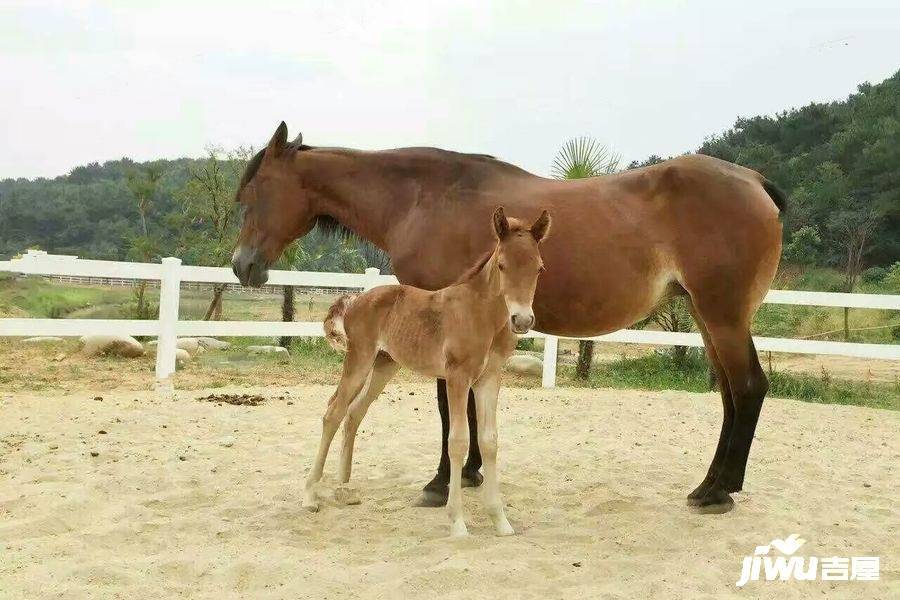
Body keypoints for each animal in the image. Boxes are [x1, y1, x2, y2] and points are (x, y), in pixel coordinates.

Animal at [304, 209, 548, 536]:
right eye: (501, 265)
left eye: (539, 268)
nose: (521, 320)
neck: (480, 315)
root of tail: (356, 299)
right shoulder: (457, 377)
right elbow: (458, 440)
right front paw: (457, 522)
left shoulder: (489, 379)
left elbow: (489, 441)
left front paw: (500, 521)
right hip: (359, 360)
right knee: (333, 412)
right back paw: (309, 495)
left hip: (384, 365)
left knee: (354, 413)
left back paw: (344, 490)